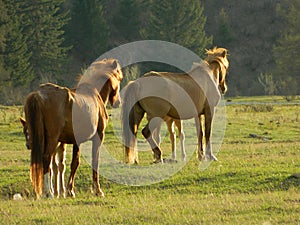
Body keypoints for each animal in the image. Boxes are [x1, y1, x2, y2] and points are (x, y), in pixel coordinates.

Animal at [22, 58, 123, 199]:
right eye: (119, 78)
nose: (118, 102)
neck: (94, 94)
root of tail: (38, 95)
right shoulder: (98, 137)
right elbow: (94, 162)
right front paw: (97, 190)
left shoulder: (76, 141)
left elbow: (75, 163)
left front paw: (69, 190)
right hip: (52, 139)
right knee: (46, 158)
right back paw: (49, 193)